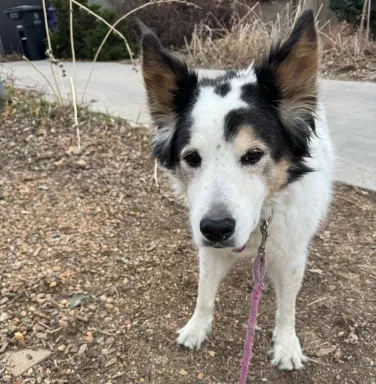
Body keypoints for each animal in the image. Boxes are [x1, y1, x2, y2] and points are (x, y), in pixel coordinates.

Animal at [140, 9, 332, 368]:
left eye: (253, 155)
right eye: (191, 158)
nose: (216, 229)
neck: (259, 225)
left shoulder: (290, 253)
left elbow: (288, 307)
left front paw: (286, 344)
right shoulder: (209, 250)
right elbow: (204, 293)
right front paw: (197, 327)